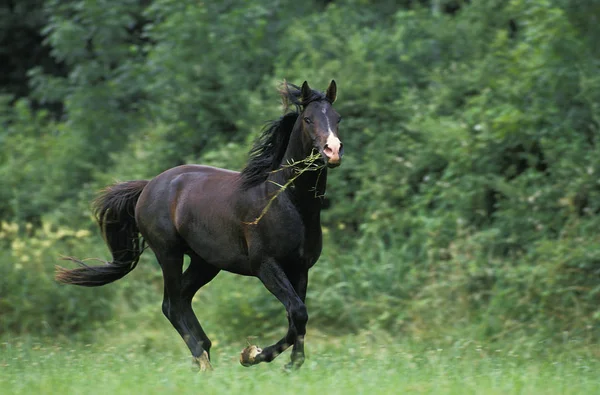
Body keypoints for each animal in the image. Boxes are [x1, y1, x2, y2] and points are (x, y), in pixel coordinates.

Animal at [58, 80, 344, 372]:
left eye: (337, 118)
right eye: (308, 119)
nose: (333, 151)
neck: (287, 202)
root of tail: (149, 186)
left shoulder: (300, 268)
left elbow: (297, 316)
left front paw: (290, 363)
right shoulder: (266, 266)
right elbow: (297, 313)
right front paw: (252, 355)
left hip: (204, 263)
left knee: (181, 299)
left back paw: (203, 354)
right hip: (169, 254)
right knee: (171, 305)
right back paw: (202, 360)